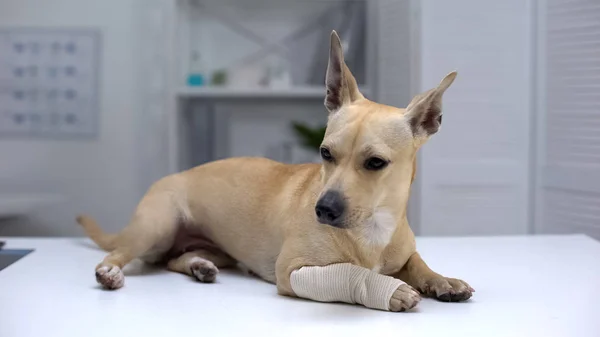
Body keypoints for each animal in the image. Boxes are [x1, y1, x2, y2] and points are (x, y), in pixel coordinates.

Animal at [77, 32, 474, 312]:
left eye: (375, 162)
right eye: (325, 153)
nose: (323, 210)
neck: (372, 229)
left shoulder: (403, 252)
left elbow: (417, 262)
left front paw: (441, 280)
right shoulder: (294, 272)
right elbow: (350, 274)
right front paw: (392, 291)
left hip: (214, 248)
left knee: (175, 259)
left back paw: (199, 265)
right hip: (156, 228)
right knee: (123, 254)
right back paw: (110, 271)